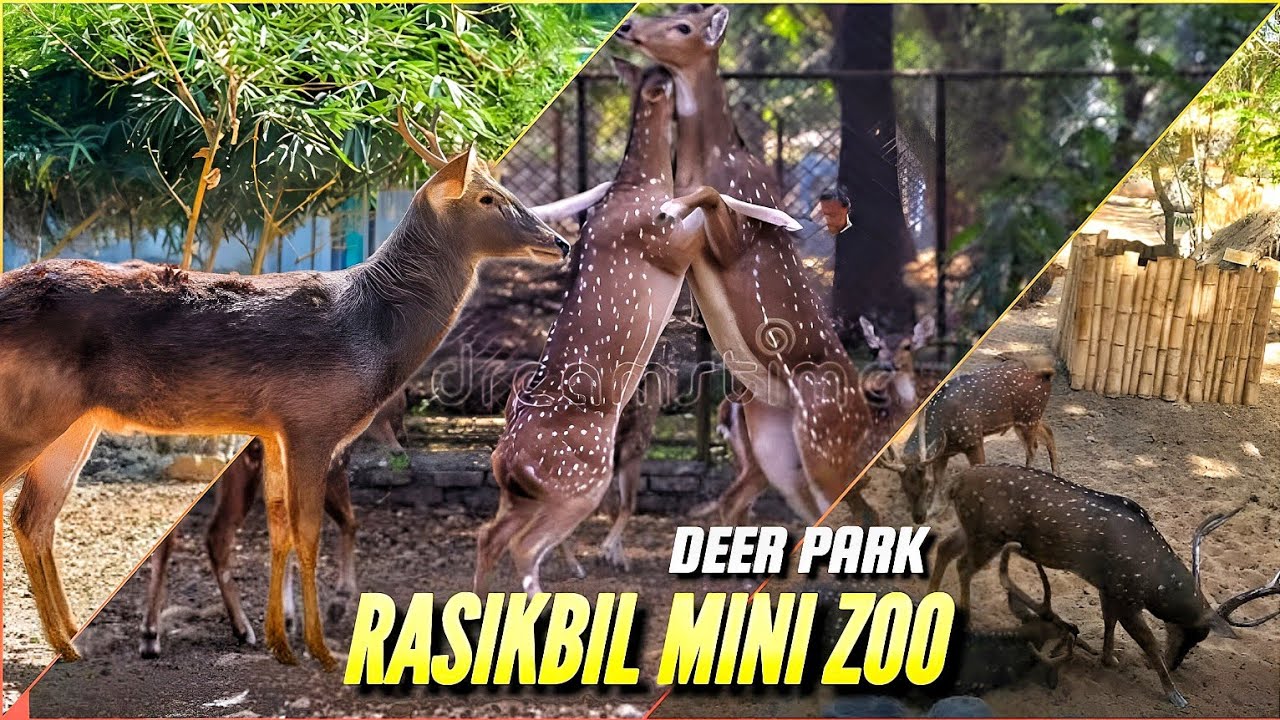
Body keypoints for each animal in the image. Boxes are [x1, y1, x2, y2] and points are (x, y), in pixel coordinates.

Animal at [138, 389, 408, 658]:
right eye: (399, 407)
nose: (401, 446)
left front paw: (289, 619)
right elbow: (346, 523)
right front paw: (334, 605)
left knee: (189, 533)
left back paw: (155, 636)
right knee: (210, 534)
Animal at [476, 61, 803, 595]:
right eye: (666, 81)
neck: (641, 185)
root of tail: (504, 458)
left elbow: (714, 196)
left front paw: (786, 218)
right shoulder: (667, 245)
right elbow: (706, 198)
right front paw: (784, 218)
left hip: (523, 492)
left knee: (489, 535)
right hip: (580, 481)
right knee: (522, 544)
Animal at [617, 5, 889, 526]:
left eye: (684, 26)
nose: (627, 26)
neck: (703, 162)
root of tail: (866, 419)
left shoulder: (737, 241)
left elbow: (712, 200)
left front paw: (672, 208)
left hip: (823, 436)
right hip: (776, 447)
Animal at [876, 357, 1058, 523]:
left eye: (926, 483)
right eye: (904, 486)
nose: (919, 517)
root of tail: (1047, 375)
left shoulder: (973, 440)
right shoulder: (943, 453)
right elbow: (939, 479)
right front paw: (934, 510)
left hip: (1028, 418)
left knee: (1032, 447)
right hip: (1028, 420)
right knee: (1048, 432)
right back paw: (1055, 471)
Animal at [928, 464, 1280, 707]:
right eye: (1196, 634)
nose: (1176, 664)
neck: (1153, 583)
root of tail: (956, 483)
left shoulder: (1107, 586)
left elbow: (1108, 620)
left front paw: (1108, 658)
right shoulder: (1126, 594)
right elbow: (1147, 642)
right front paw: (1174, 695)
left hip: (973, 529)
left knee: (945, 546)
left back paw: (932, 595)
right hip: (988, 534)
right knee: (963, 565)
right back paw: (965, 613)